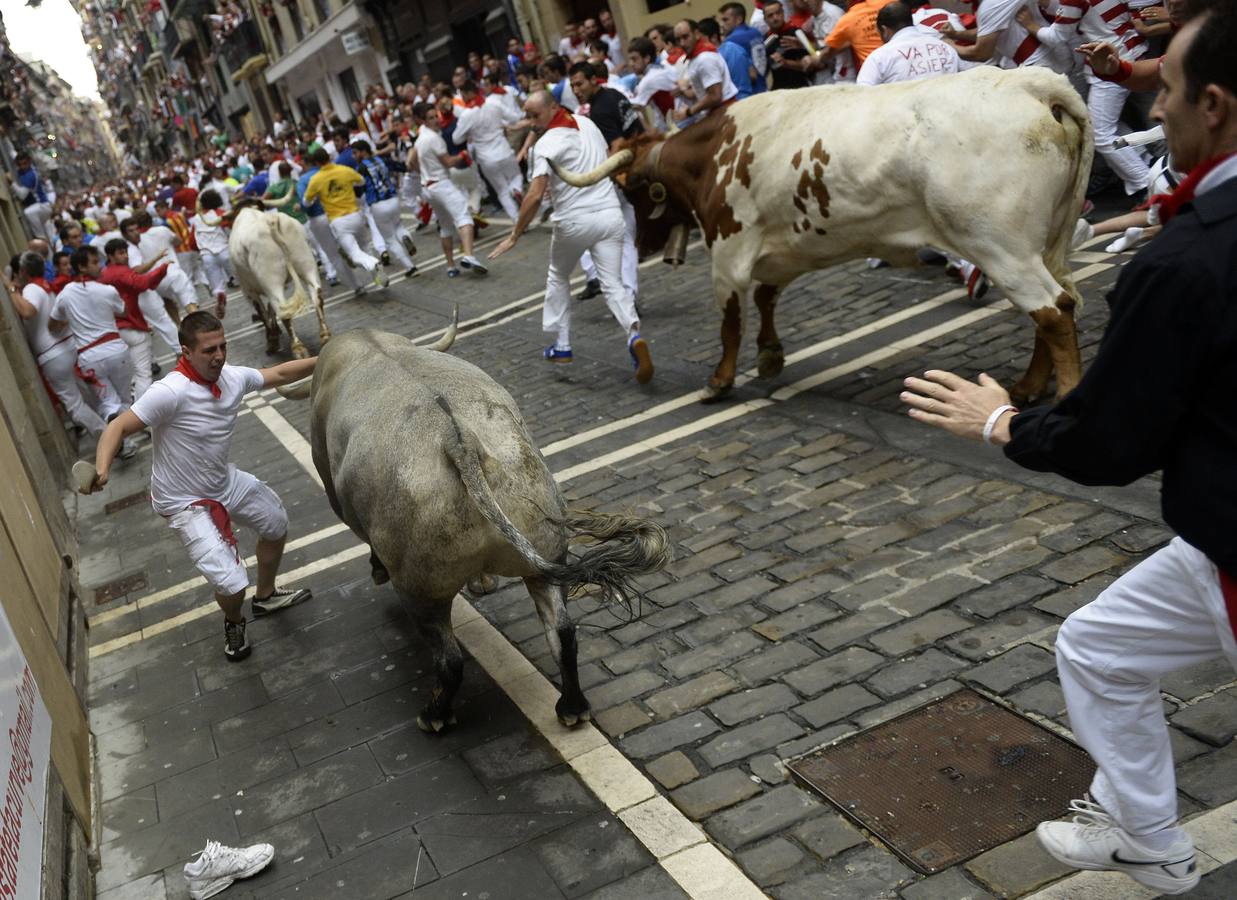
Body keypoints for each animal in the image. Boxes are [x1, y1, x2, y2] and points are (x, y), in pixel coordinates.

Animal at [228, 197, 331, 358]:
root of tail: (271, 221)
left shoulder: (249, 290)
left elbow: (263, 312)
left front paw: (272, 340)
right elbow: (270, 309)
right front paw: (275, 334)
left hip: (271, 280)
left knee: (283, 308)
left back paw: (298, 348)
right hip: (307, 264)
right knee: (317, 295)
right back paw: (325, 337)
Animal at [559, 68, 1093, 405]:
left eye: (629, 189)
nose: (644, 248)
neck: (713, 154)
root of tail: (1030, 81)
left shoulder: (727, 256)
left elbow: (731, 324)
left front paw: (720, 380)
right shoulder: (786, 250)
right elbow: (768, 298)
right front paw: (770, 355)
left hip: (1001, 248)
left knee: (1052, 310)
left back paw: (1065, 394)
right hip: (1044, 244)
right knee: (1058, 305)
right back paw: (1028, 388)